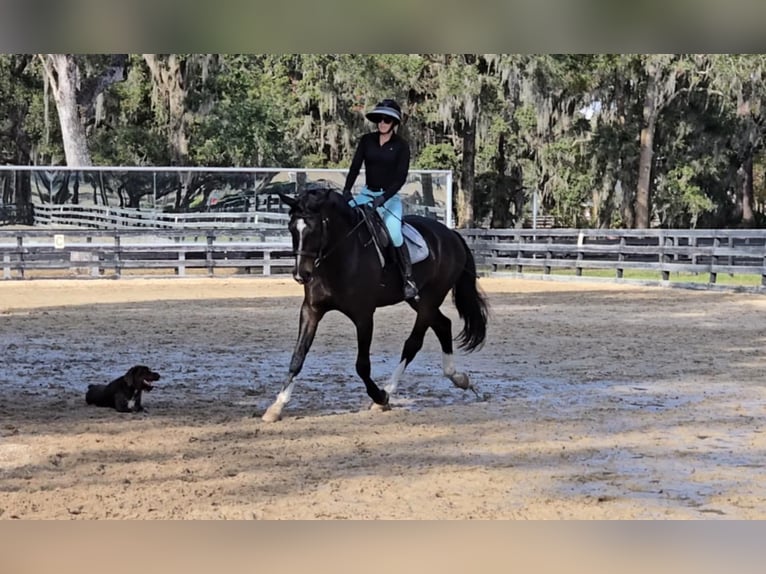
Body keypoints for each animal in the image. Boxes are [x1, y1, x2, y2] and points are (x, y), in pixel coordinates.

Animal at [264, 188, 492, 424]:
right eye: (292, 228)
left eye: (315, 228)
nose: (301, 275)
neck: (339, 256)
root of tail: (451, 234)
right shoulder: (311, 310)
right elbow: (298, 356)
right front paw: (277, 406)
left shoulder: (364, 315)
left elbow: (362, 365)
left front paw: (379, 396)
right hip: (417, 300)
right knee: (443, 325)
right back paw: (459, 378)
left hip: (429, 300)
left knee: (414, 343)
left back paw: (388, 391)